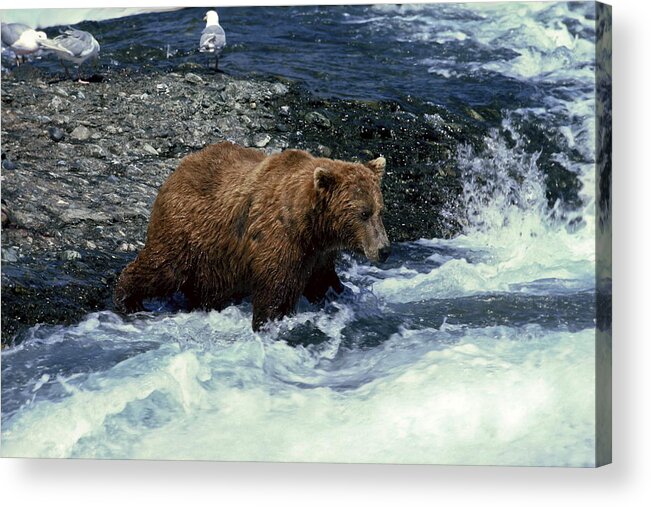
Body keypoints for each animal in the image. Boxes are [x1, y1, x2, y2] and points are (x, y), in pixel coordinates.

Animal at [113, 141, 392, 332]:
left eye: (380, 210)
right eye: (363, 213)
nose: (384, 250)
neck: (309, 226)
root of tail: (179, 168)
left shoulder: (318, 254)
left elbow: (324, 282)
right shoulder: (279, 242)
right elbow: (275, 292)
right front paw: (269, 323)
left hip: (215, 259)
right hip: (186, 233)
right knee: (161, 268)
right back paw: (128, 300)